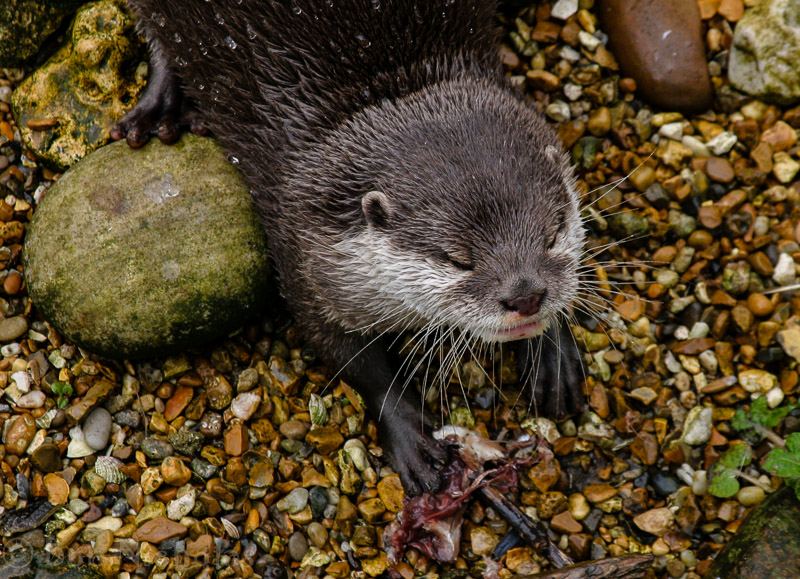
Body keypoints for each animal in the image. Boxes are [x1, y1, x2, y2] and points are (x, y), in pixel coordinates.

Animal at [114, 0, 585, 495]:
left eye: (553, 233)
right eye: (456, 259)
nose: (525, 295)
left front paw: (553, 354)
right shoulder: (302, 258)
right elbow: (349, 356)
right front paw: (409, 433)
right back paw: (159, 109)